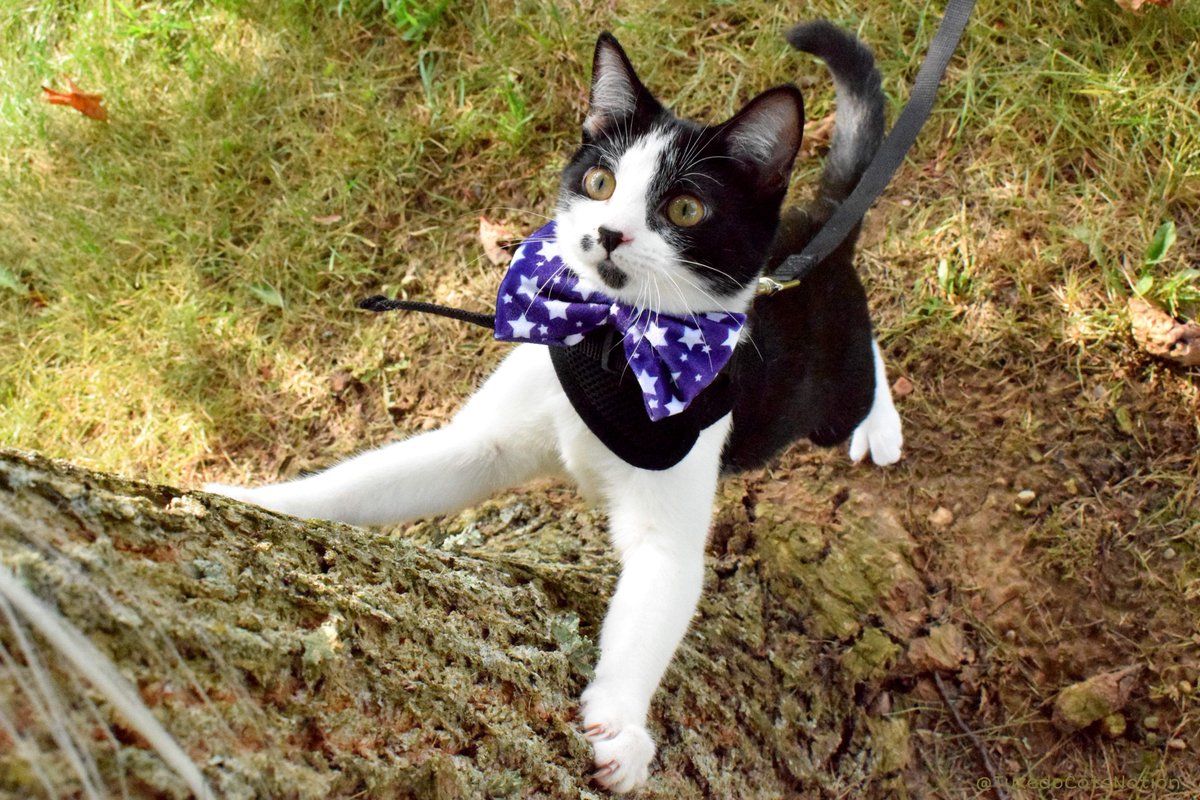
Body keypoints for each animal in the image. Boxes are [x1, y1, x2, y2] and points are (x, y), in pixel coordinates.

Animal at [208, 18, 902, 796]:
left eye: (685, 208)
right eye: (600, 183)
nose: (608, 233)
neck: (609, 342)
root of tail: (817, 233)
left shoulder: (679, 475)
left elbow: (657, 592)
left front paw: (622, 724)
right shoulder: (484, 440)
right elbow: (368, 481)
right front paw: (250, 499)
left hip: (819, 397)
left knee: (863, 374)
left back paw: (880, 425)